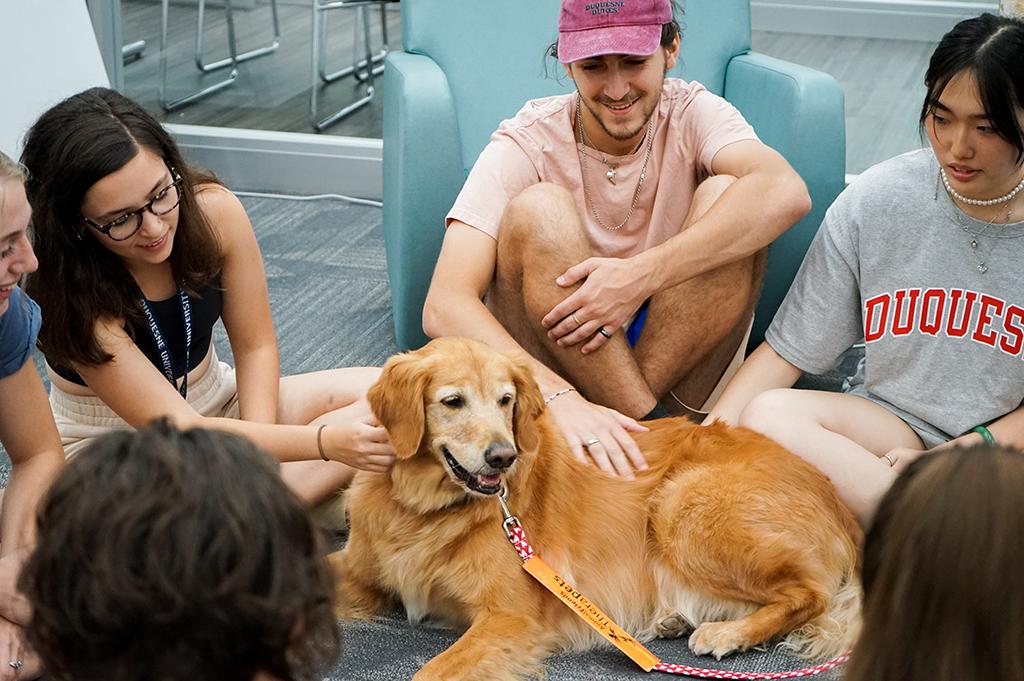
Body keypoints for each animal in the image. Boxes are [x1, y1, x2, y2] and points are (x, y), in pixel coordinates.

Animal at [333, 337, 856, 679]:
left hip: (680, 507)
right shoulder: (358, 573)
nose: (503, 456)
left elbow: (431, 672)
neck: (423, 510)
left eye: (505, 400)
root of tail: (835, 499)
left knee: (809, 594)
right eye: (452, 401)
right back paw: (674, 619)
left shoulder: (509, 616)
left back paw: (726, 634)